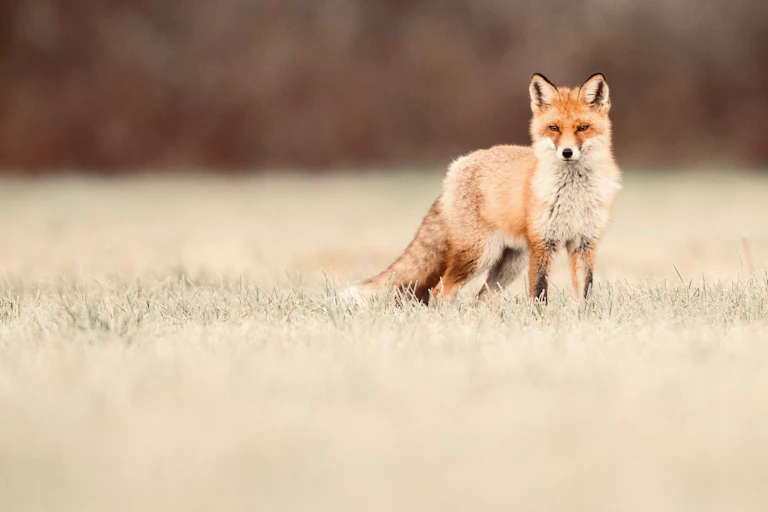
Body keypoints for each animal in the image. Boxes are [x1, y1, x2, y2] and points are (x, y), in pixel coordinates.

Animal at [347, 73, 621, 304]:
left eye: (582, 128)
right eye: (554, 128)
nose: (566, 152)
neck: (574, 194)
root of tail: (457, 166)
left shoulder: (585, 243)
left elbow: (584, 295)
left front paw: (581, 320)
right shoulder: (543, 244)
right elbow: (539, 294)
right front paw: (540, 323)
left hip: (509, 265)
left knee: (481, 298)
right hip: (479, 254)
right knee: (441, 291)